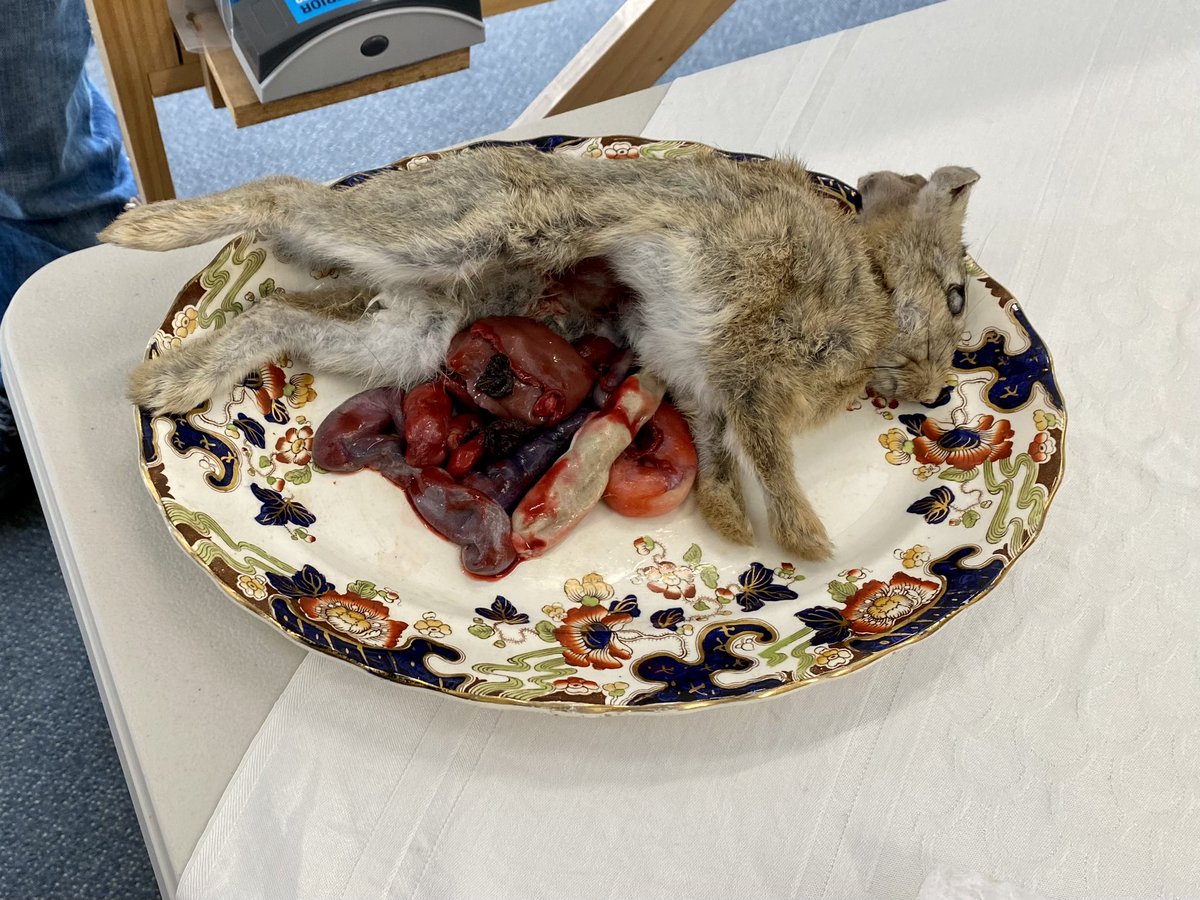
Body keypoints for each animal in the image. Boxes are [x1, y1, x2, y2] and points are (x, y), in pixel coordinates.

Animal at [100, 144, 979, 561]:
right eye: (957, 298)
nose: (933, 386)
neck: (870, 284)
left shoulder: (693, 382)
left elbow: (719, 454)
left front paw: (733, 524)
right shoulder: (750, 361)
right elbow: (765, 448)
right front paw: (807, 540)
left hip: (412, 334)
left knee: (276, 307)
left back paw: (174, 376)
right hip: (464, 227)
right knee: (281, 193)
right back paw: (141, 230)